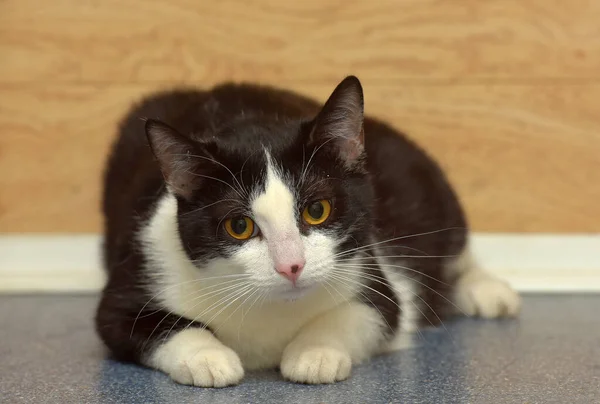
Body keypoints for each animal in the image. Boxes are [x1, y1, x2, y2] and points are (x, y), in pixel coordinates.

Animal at [96, 76, 516, 388]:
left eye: (317, 211)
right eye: (239, 226)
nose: (291, 266)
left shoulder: (370, 269)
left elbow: (372, 310)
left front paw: (315, 352)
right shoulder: (143, 267)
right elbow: (145, 323)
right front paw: (208, 355)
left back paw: (486, 290)